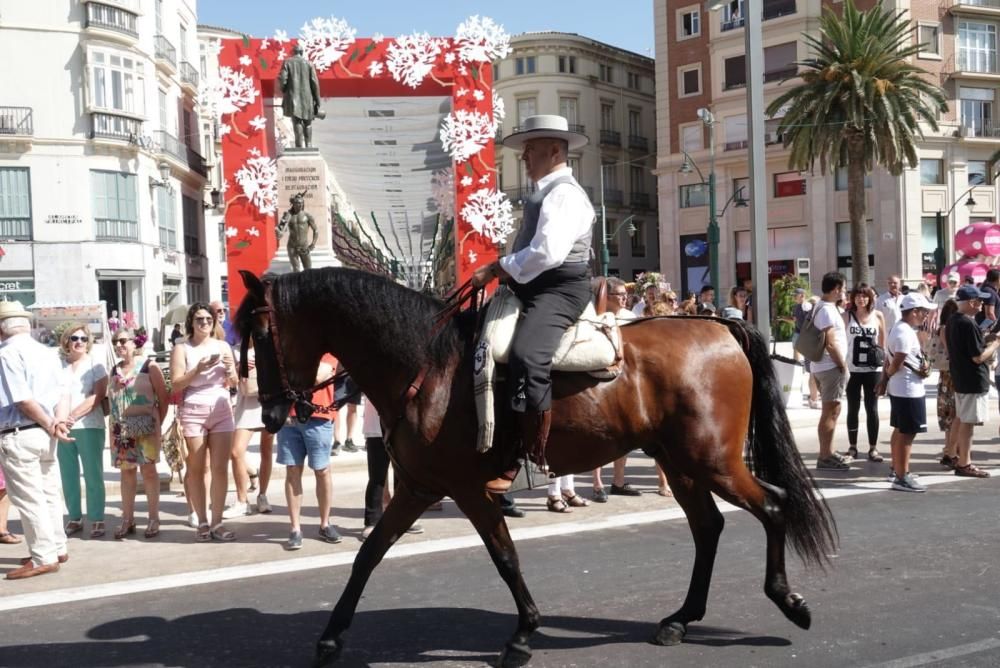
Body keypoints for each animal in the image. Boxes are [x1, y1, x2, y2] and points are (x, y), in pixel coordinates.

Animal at [234, 268, 836, 668]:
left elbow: (504, 557)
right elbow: (368, 555)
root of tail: (719, 327)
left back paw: (789, 602)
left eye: (261, 334)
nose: (270, 414)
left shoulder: (464, 488)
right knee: (709, 527)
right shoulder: (418, 488)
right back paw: (679, 620)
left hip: (712, 462)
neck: (426, 368)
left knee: (773, 505)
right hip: (682, 463)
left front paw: (523, 635)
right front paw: (331, 637)